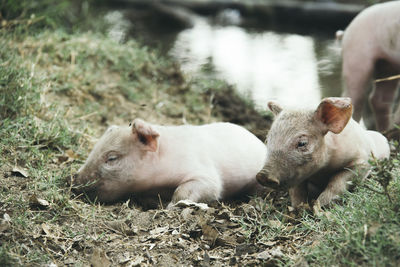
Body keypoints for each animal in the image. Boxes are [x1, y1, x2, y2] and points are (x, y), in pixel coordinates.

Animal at [73, 120, 268, 207]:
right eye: (93, 149)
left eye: (112, 158)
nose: (73, 180)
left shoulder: (205, 174)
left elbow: (194, 190)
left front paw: (169, 207)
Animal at [256, 97, 390, 208]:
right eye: (268, 139)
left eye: (302, 143)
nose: (262, 175)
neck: (323, 171)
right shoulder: (298, 175)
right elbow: (297, 190)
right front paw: (298, 208)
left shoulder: (362, 162)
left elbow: (338, 180)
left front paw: (320, 205)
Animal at [340, 1, 400, 132]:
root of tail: (345, 31)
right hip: (356, 58)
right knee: (354, 97)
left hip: (387, 66)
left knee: (379, 99)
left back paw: (385, 130)